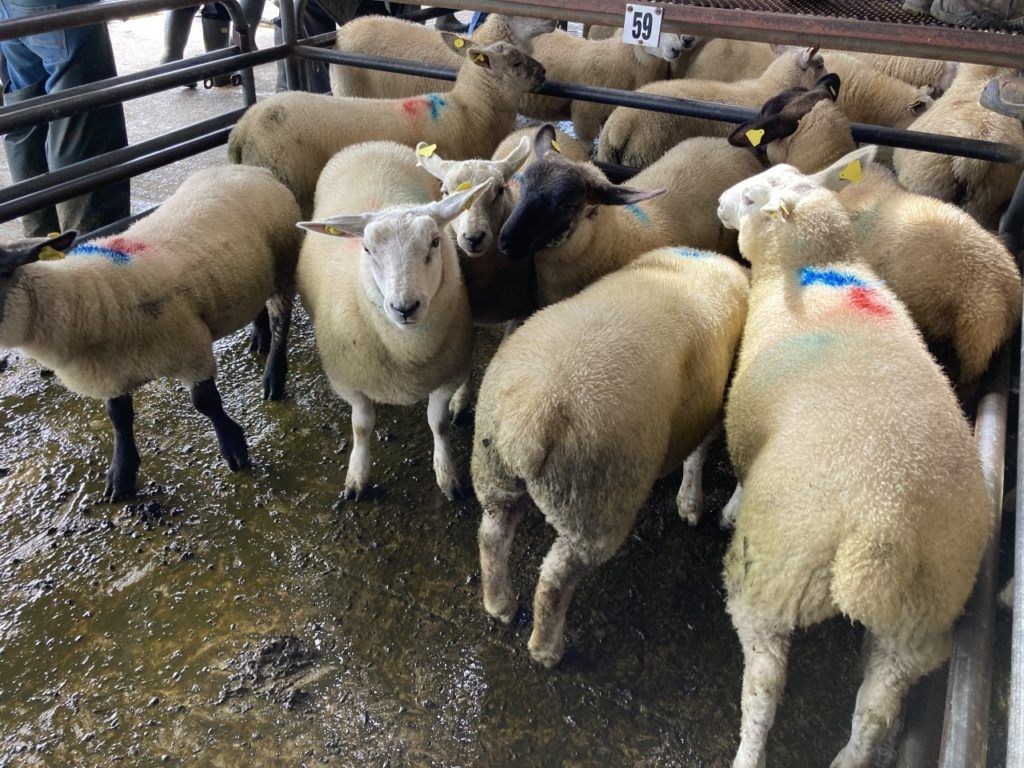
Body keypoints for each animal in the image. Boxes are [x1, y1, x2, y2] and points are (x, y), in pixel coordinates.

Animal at [0, 165, 301, 500]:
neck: (91, 294)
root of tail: (250, 168)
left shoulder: (190, 348)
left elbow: (206, 402)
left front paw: (233, 447)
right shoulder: (113, 375)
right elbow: (119, 419)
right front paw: (122, 473)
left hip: (284, 266)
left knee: (280, 320)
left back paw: (274, 374)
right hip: (250, 274)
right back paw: (259, 338)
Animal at [296, 141, 489, 500]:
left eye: (435, 242)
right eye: (367, 249)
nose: (405, 307)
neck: (407, 352)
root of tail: (371, 143)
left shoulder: (448, 373)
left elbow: (438, 423)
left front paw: (447, 475)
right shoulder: (349, 380)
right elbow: (361, 426)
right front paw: (357, 475)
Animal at [473, 245, 749, 667]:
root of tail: (530, 420)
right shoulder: (715, 402)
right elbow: (698, 452)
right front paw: (690, 501)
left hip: (494, 473)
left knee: (492, 536)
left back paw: (499, 603)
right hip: (594, 502)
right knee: (555, 578)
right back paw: (546, 649)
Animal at [716, 160, 989, 768]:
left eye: (751, 199)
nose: (720, 204)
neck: (820, 266)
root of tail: (884, 525)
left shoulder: (743, 420)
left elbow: (740, 471)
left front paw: (729, 505)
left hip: (773, 571)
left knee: (765, 683)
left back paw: (748, 749)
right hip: (923, 615)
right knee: (878, 704)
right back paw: (851, 755)